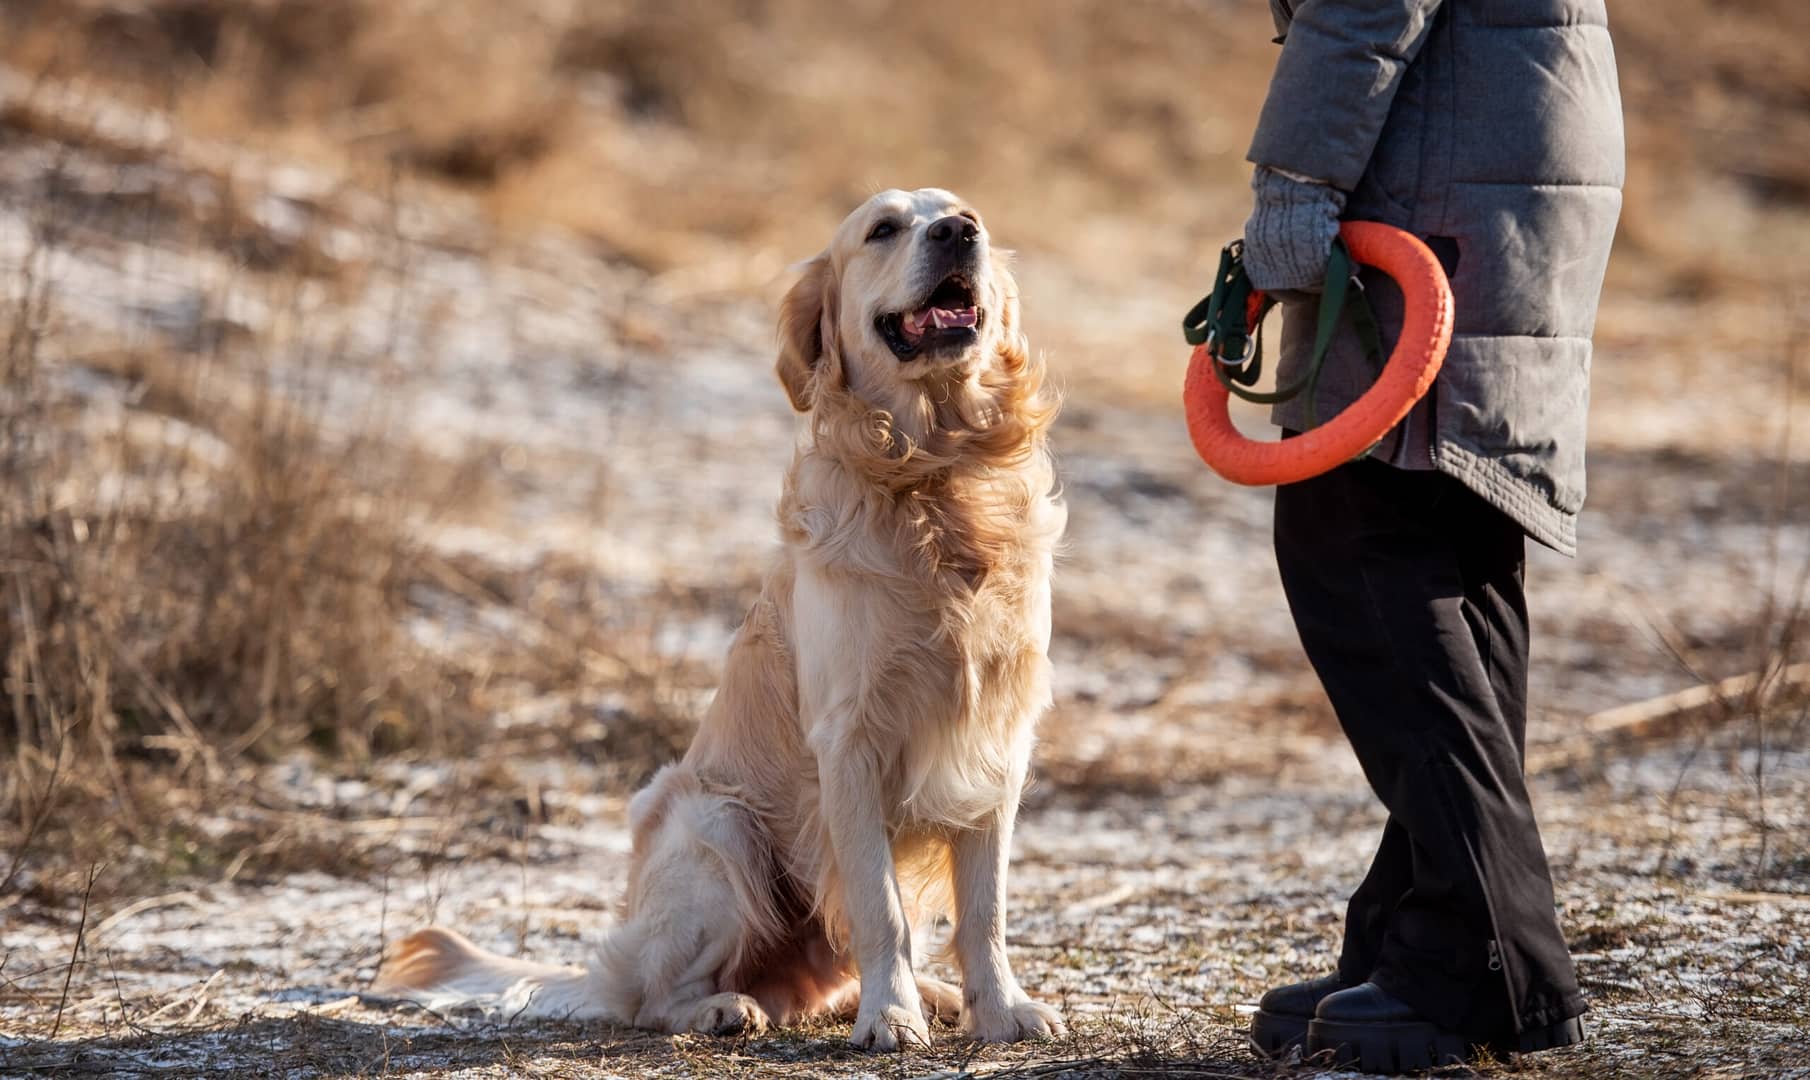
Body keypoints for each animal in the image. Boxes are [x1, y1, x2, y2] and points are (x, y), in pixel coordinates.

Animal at [372, 189, 1064, 1049]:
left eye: (967, 214)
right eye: (882, 229)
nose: (957, 233)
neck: (936, 476)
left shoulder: (997, 737)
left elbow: (985, 910)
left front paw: (999, 1009)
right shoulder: (850, 739)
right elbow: (882, 910)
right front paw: (892, 1017)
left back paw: (929, 993)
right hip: (714, 825)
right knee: (652, 995)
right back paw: (726, 1007)